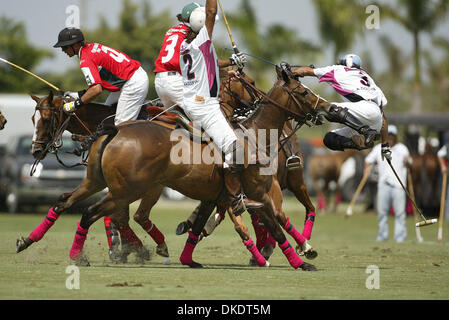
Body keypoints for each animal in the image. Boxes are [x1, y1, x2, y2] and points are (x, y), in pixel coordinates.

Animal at [50, 67, 328, 270]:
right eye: (303, 92)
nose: (326, 108)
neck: (255, 135)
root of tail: (115, 130)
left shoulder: (215, 197)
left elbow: (198, 228)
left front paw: (188, 258)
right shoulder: (258, 195)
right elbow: (276, 228)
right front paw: (301, 261)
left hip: (98, 182)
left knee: (66, 201)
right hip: (125, 190)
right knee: (93, 213)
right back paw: (81, 256)